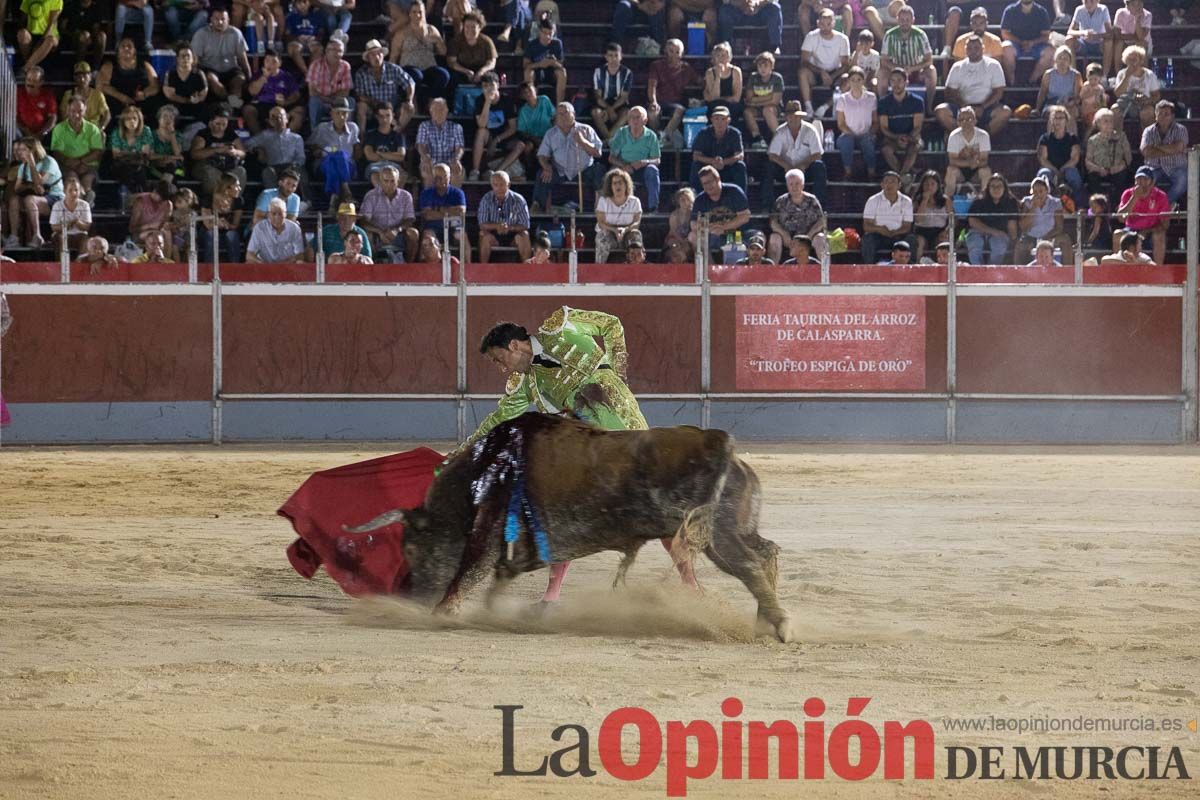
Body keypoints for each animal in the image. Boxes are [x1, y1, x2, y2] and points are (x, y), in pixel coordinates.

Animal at [345, 412, 796, 642]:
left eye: (411, 548)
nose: (409, 595)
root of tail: (723, 445)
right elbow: (500, 577)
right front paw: (502, 612)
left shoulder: (488, 527)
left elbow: (469, 572)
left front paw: (443, 614)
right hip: (729, 527)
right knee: (765, 552)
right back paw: (763, 620)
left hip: (716, 534)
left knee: (750, 564)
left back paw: (780, 624)